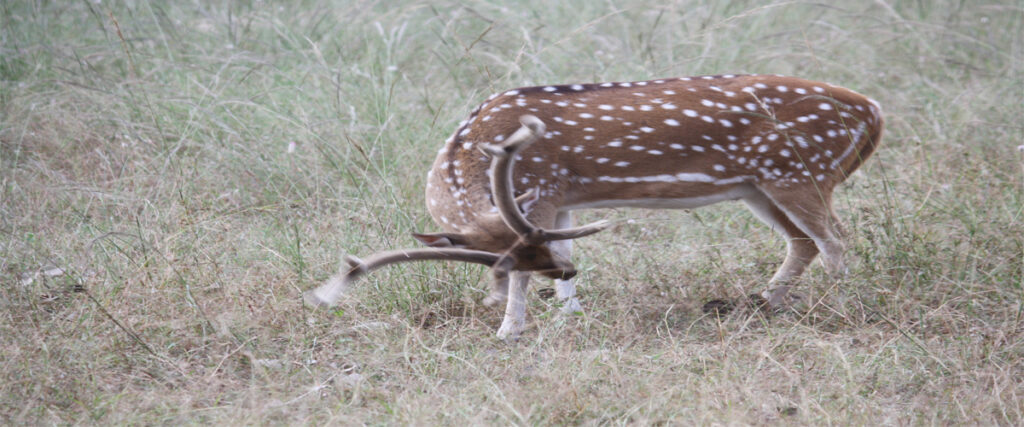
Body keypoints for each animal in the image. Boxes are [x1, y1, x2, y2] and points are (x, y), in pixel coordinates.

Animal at [307, 74, 884, 339]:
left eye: (507, 261)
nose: (565, 273)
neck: (469, 150)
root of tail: (872, 111)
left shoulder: (539, 192)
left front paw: (508, 331)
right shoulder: (560, 199)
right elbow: (566, 254)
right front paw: (571, 314)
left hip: (800, 172)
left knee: (835, 238)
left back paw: (840, 306)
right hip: (759, 187)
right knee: (804, 241)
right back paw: (765, 302)